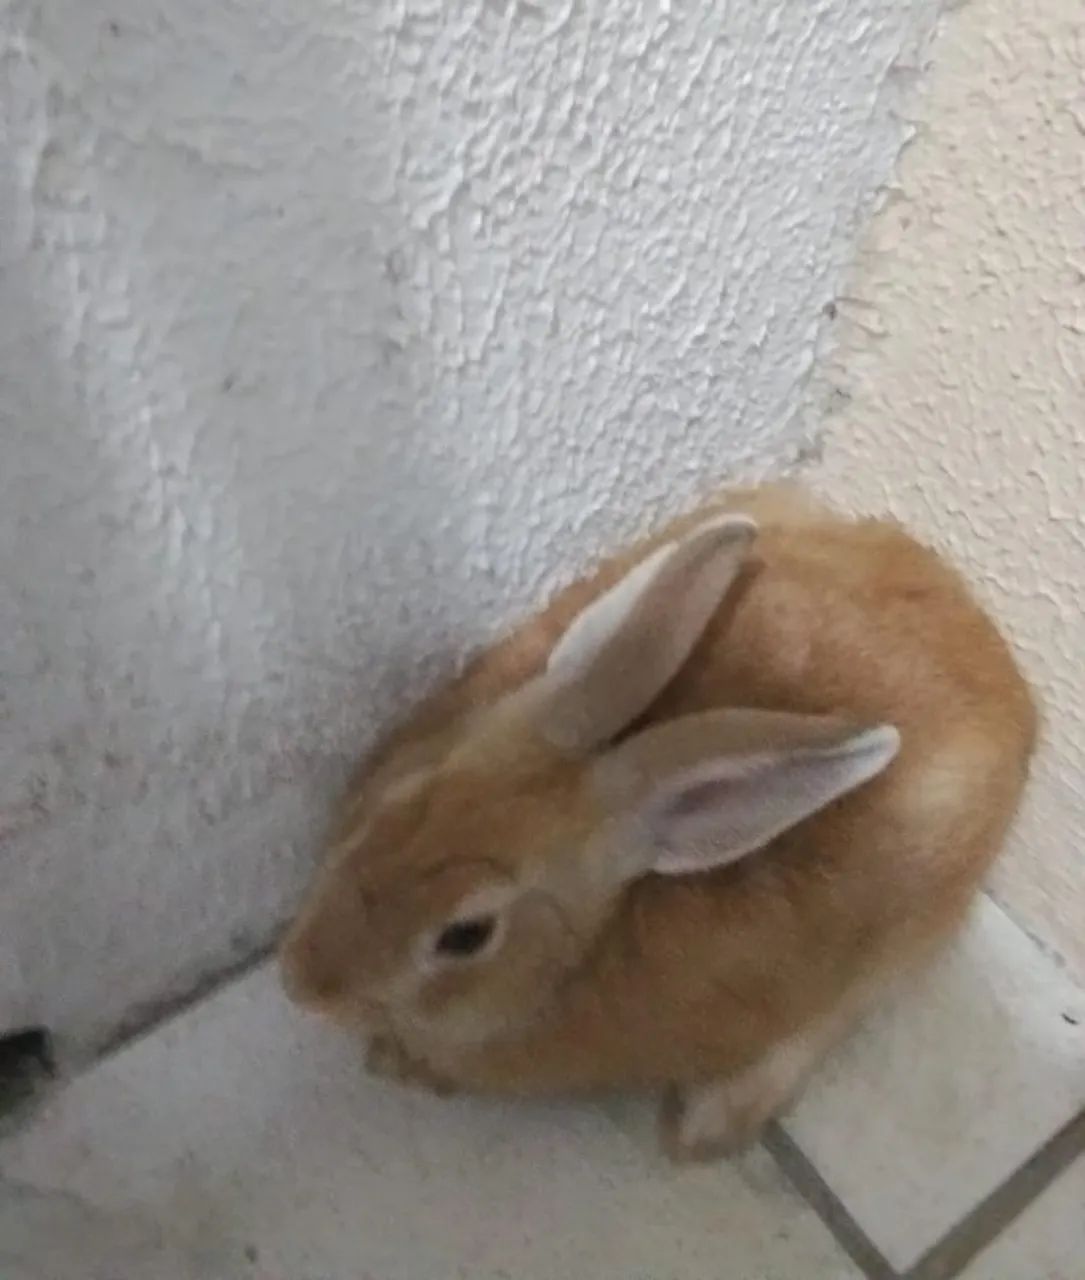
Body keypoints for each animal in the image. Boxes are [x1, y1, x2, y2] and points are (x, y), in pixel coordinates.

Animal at [280, 484, 1038, 1160]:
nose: (301, 984)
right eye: (398, 802)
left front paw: (394, 1064)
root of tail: (1001, 671)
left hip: (907, 926)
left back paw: (705, 1126)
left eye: (466, 935)